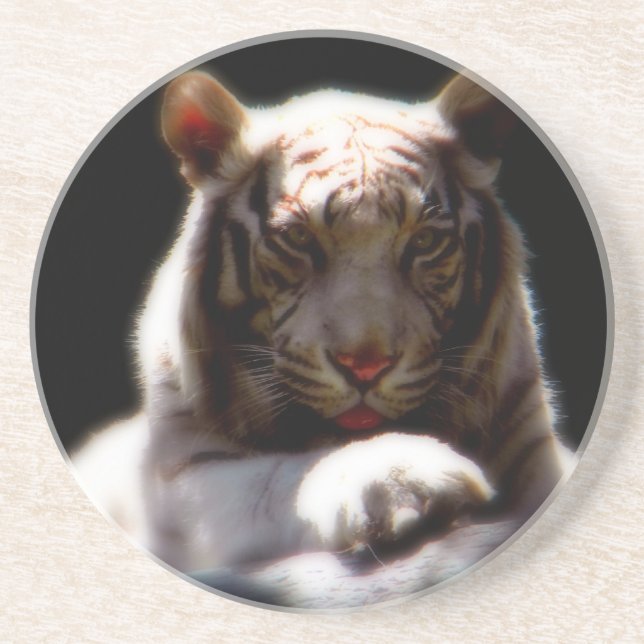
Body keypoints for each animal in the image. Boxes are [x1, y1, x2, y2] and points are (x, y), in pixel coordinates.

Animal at [73, 70, 572, 589]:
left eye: (424, 241)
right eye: (297, 238)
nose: (365, 366)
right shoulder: (181, 482)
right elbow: (270, 480)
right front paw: (399, 478)